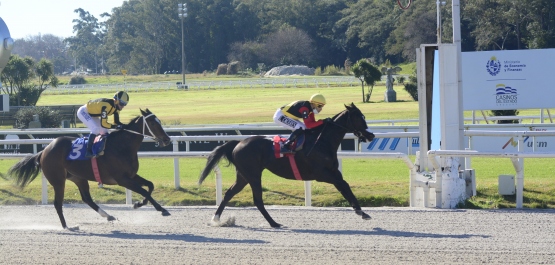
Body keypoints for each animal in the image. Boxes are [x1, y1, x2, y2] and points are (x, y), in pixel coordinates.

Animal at [7, 107, 172, 229]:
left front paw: (139, 204)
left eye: (159, 121)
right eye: (153, 123)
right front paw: (161, 209)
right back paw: (67, 227)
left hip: (78, 178)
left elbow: (150, 186)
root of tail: (45, 150)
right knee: (58, 203)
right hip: (58, 180)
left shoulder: (131, 176)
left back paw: (108, 215)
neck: (122, 147)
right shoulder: (122, 179)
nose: (167, 140)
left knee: (87, 198)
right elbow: (144, 190)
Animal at [198, 102, 376, 226]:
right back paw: (274, 223)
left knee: (229, 193)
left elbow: (345, 186)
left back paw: (216, 219)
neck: (322, 141)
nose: (371, 135)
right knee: (257, 200)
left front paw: (361, 211)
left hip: (243, 175)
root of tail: (238, 143)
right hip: (253, 175)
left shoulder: (333, 172)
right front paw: (361, 212)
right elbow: (343, 185)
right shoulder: (321, 174)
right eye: (359, 117)